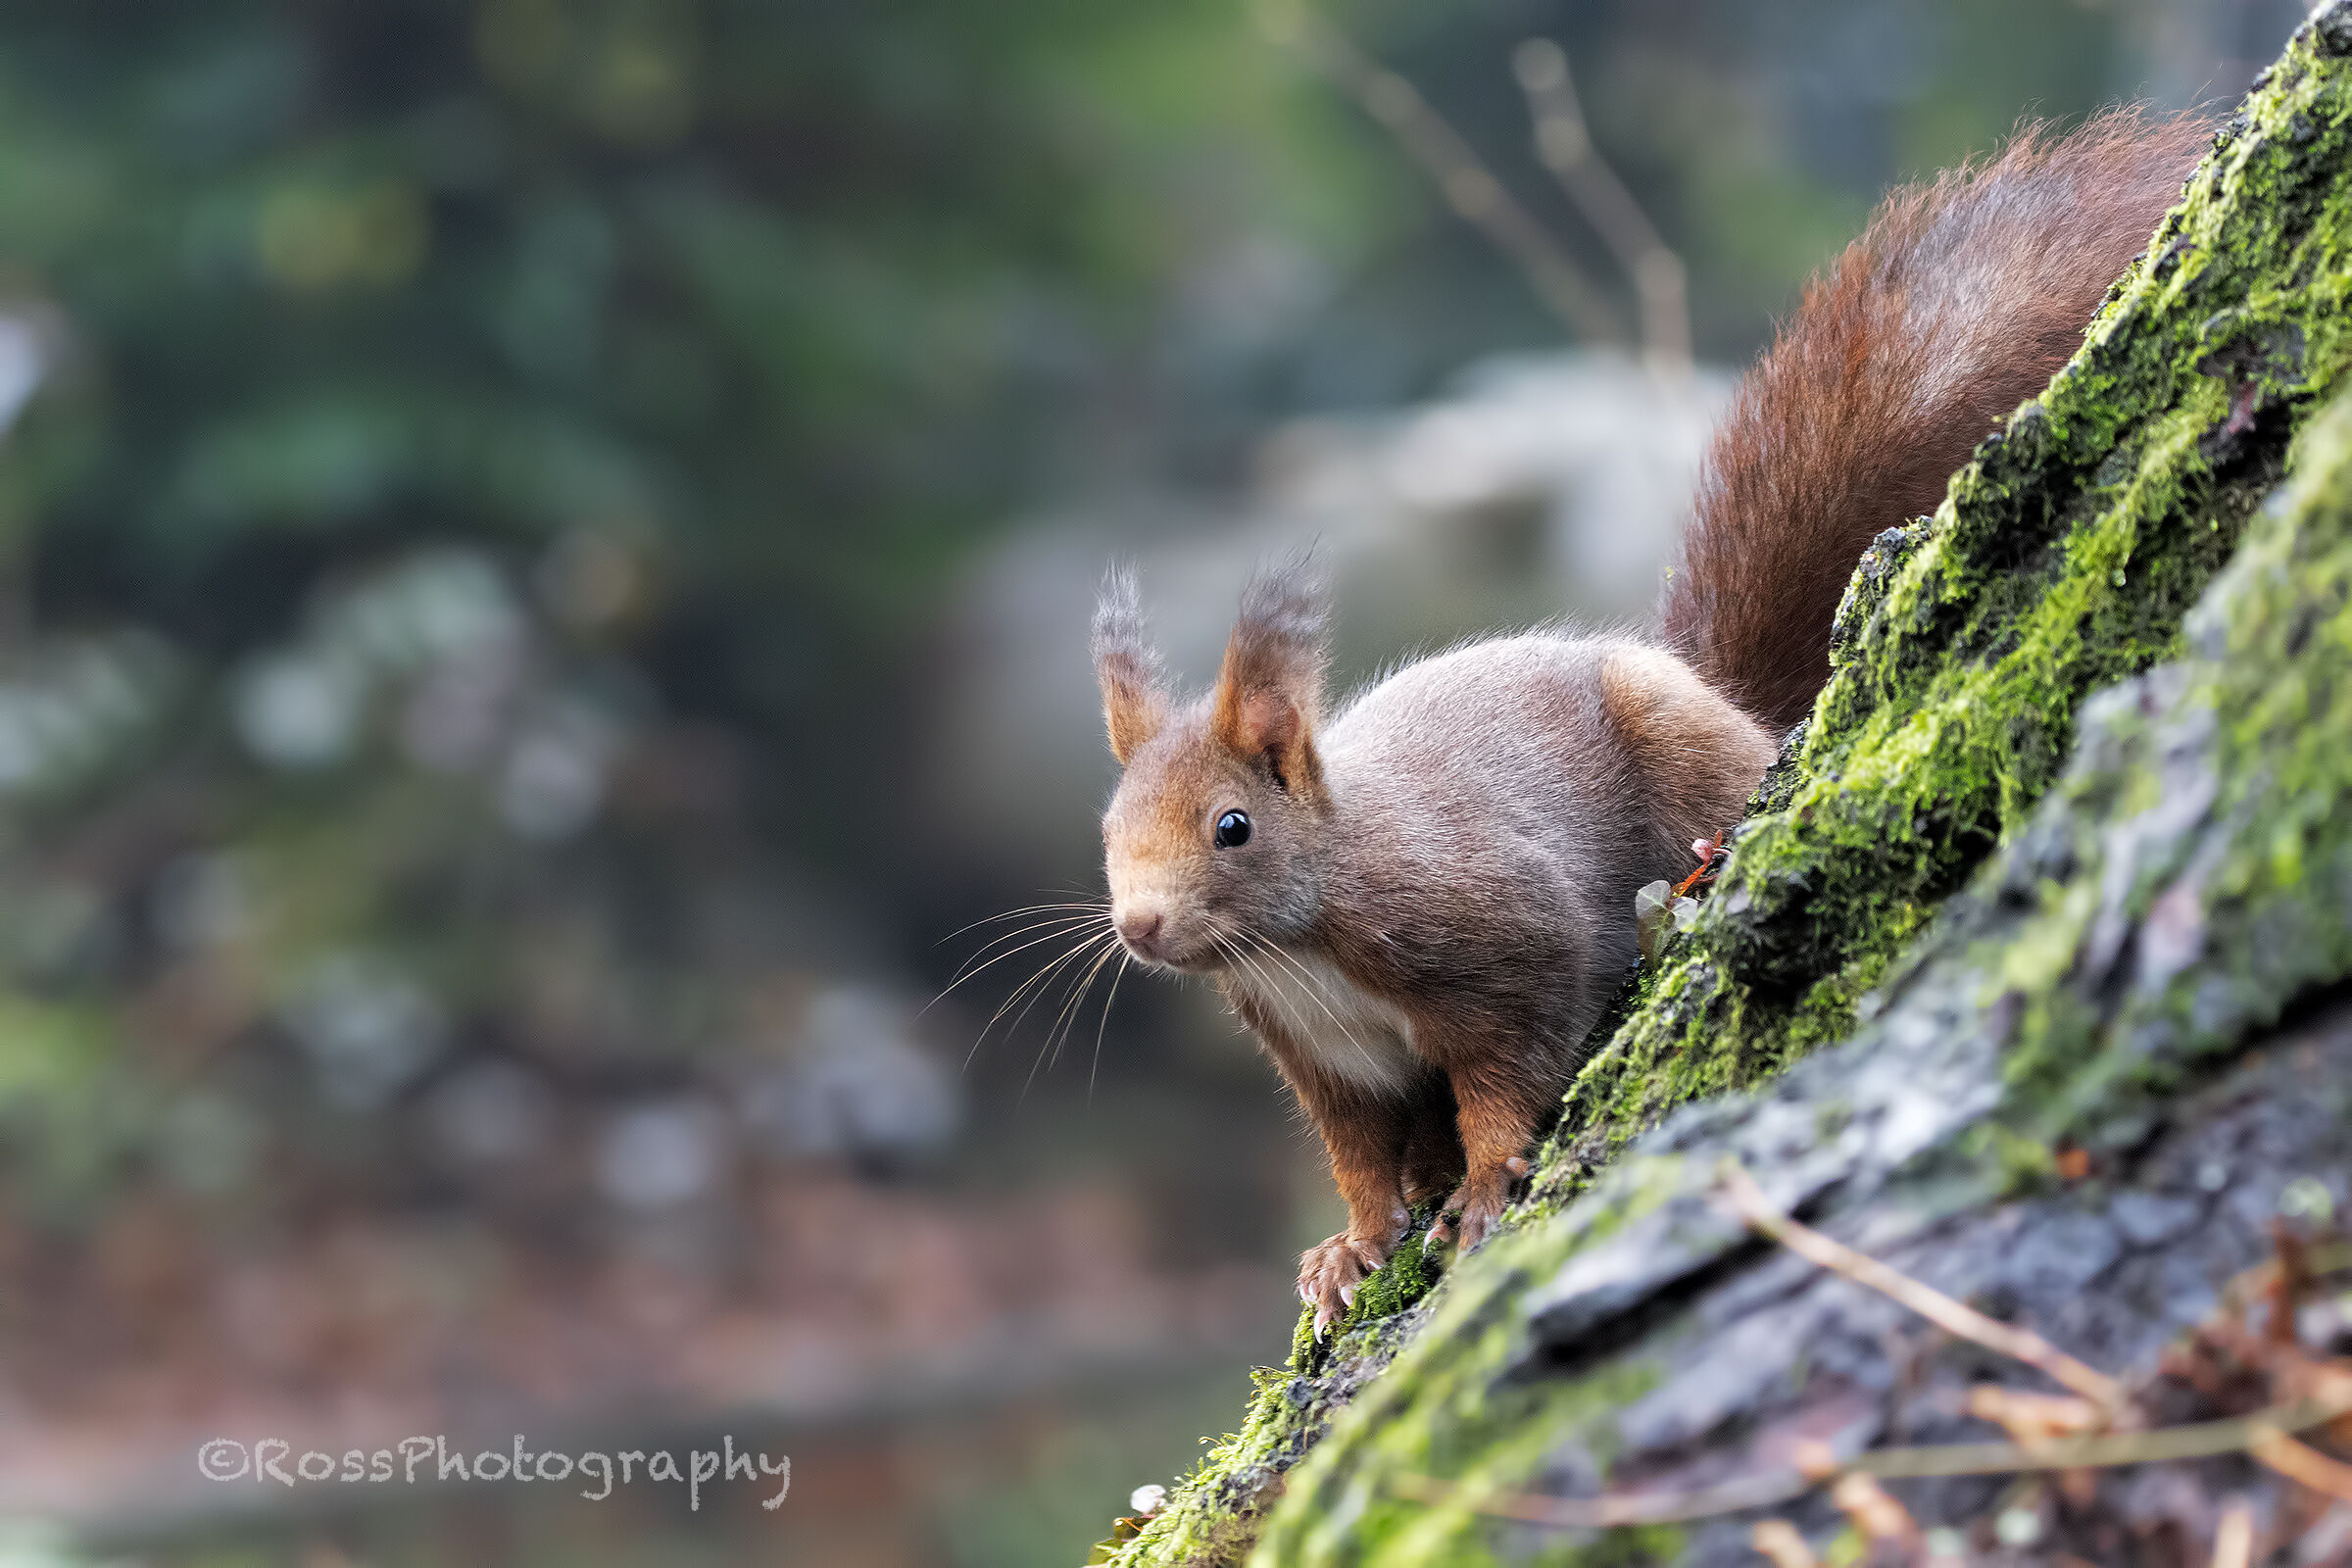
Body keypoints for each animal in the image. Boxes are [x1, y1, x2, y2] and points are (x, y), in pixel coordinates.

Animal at [1088, 107, 2211, 1334]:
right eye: (1107, 831)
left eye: (1232, 826)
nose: (1139, 927)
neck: (1303, 947)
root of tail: (1720, 696)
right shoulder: (1326, 1058)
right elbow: (1360, 1158)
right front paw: (1350, 1249)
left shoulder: (1500, 931)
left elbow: (1510, 1068)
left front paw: (1486, 1188)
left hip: (1681, 752)